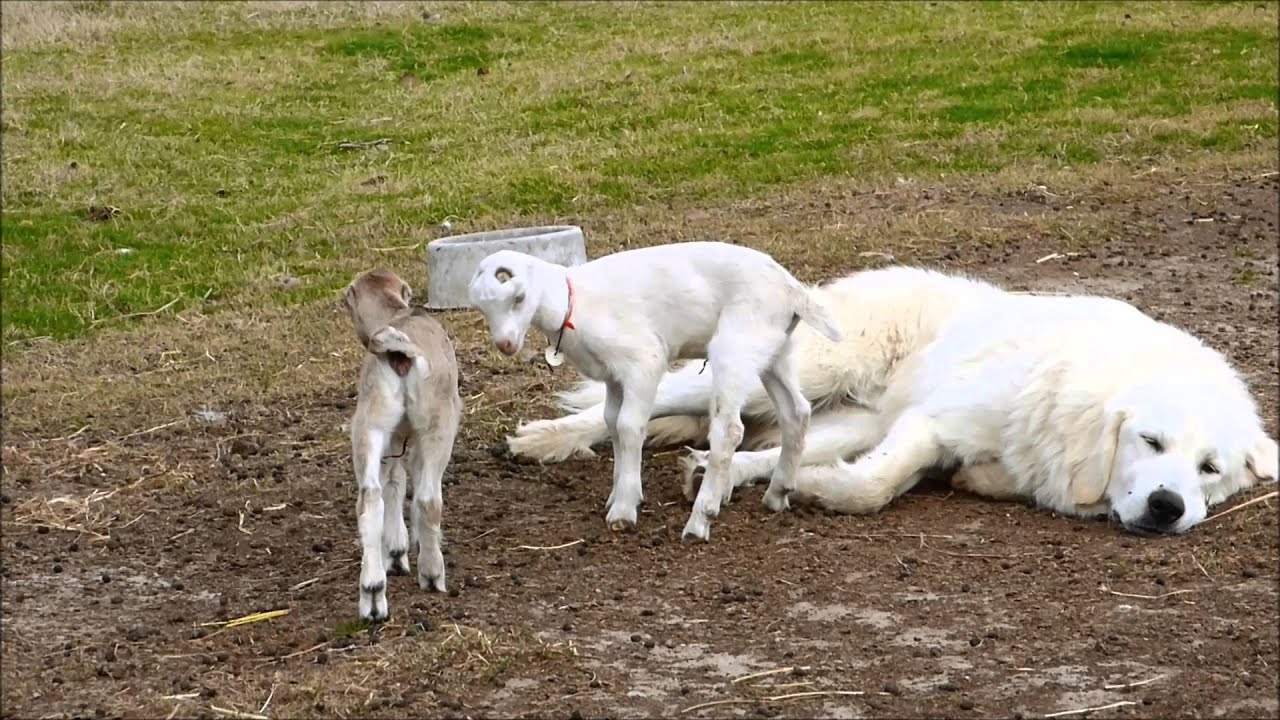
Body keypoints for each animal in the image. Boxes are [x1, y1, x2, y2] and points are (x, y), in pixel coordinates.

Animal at [343, 268, 462, 622]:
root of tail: (399, 352)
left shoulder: (394, 437)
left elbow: (393, 483)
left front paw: (393, 555)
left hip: (370, 424)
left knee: (370, 500)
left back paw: (372, 594)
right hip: (438, 425)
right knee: (428, 499)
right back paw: (433, 574)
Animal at [467, 241, 842, 542]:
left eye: (518, 298)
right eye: (483, 308)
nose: (505, 345)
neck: (573, 303)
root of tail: (793, 290)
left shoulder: (642, 361)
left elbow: (629, 426)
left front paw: (622, 510)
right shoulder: (613, 378)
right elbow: (612, 422)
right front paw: (621, 492)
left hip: (736, 345)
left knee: (729, 430)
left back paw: (700, 521)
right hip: (773, 350)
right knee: (797, 411)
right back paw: (778, 492)